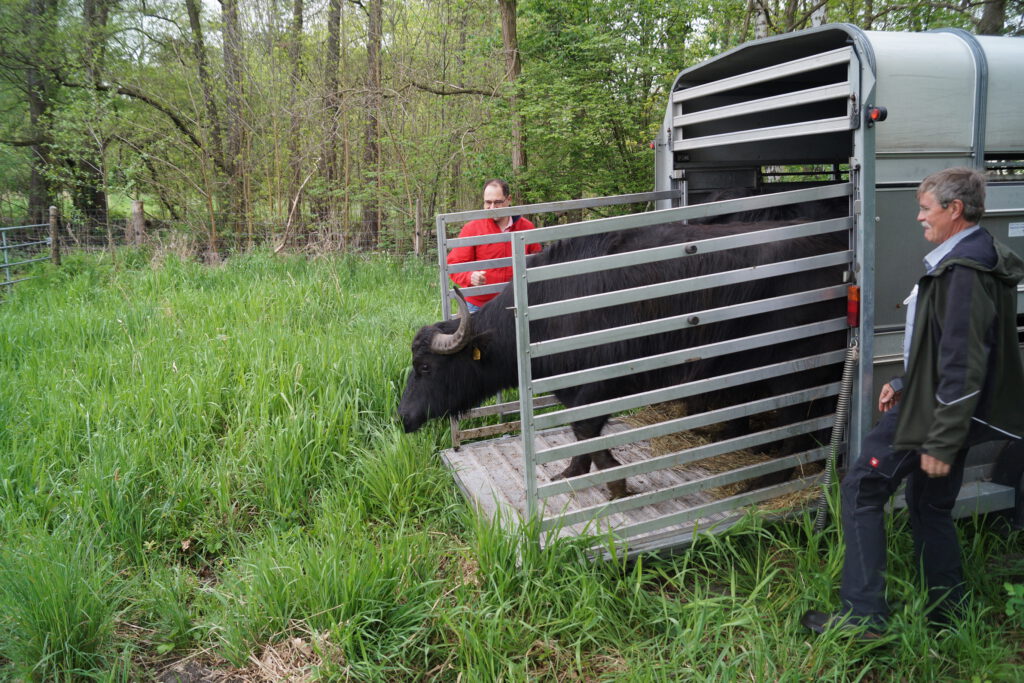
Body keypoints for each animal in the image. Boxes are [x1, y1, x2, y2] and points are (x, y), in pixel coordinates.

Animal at [399, 219, 847, 497]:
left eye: (425, 367)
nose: (403, 416)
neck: (542, 310)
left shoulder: (603, 384)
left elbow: (585, 428)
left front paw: (614, 480)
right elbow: (582, 431)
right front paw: (573, 471)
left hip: (793, 371)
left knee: (796, 424)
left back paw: (764, 480)